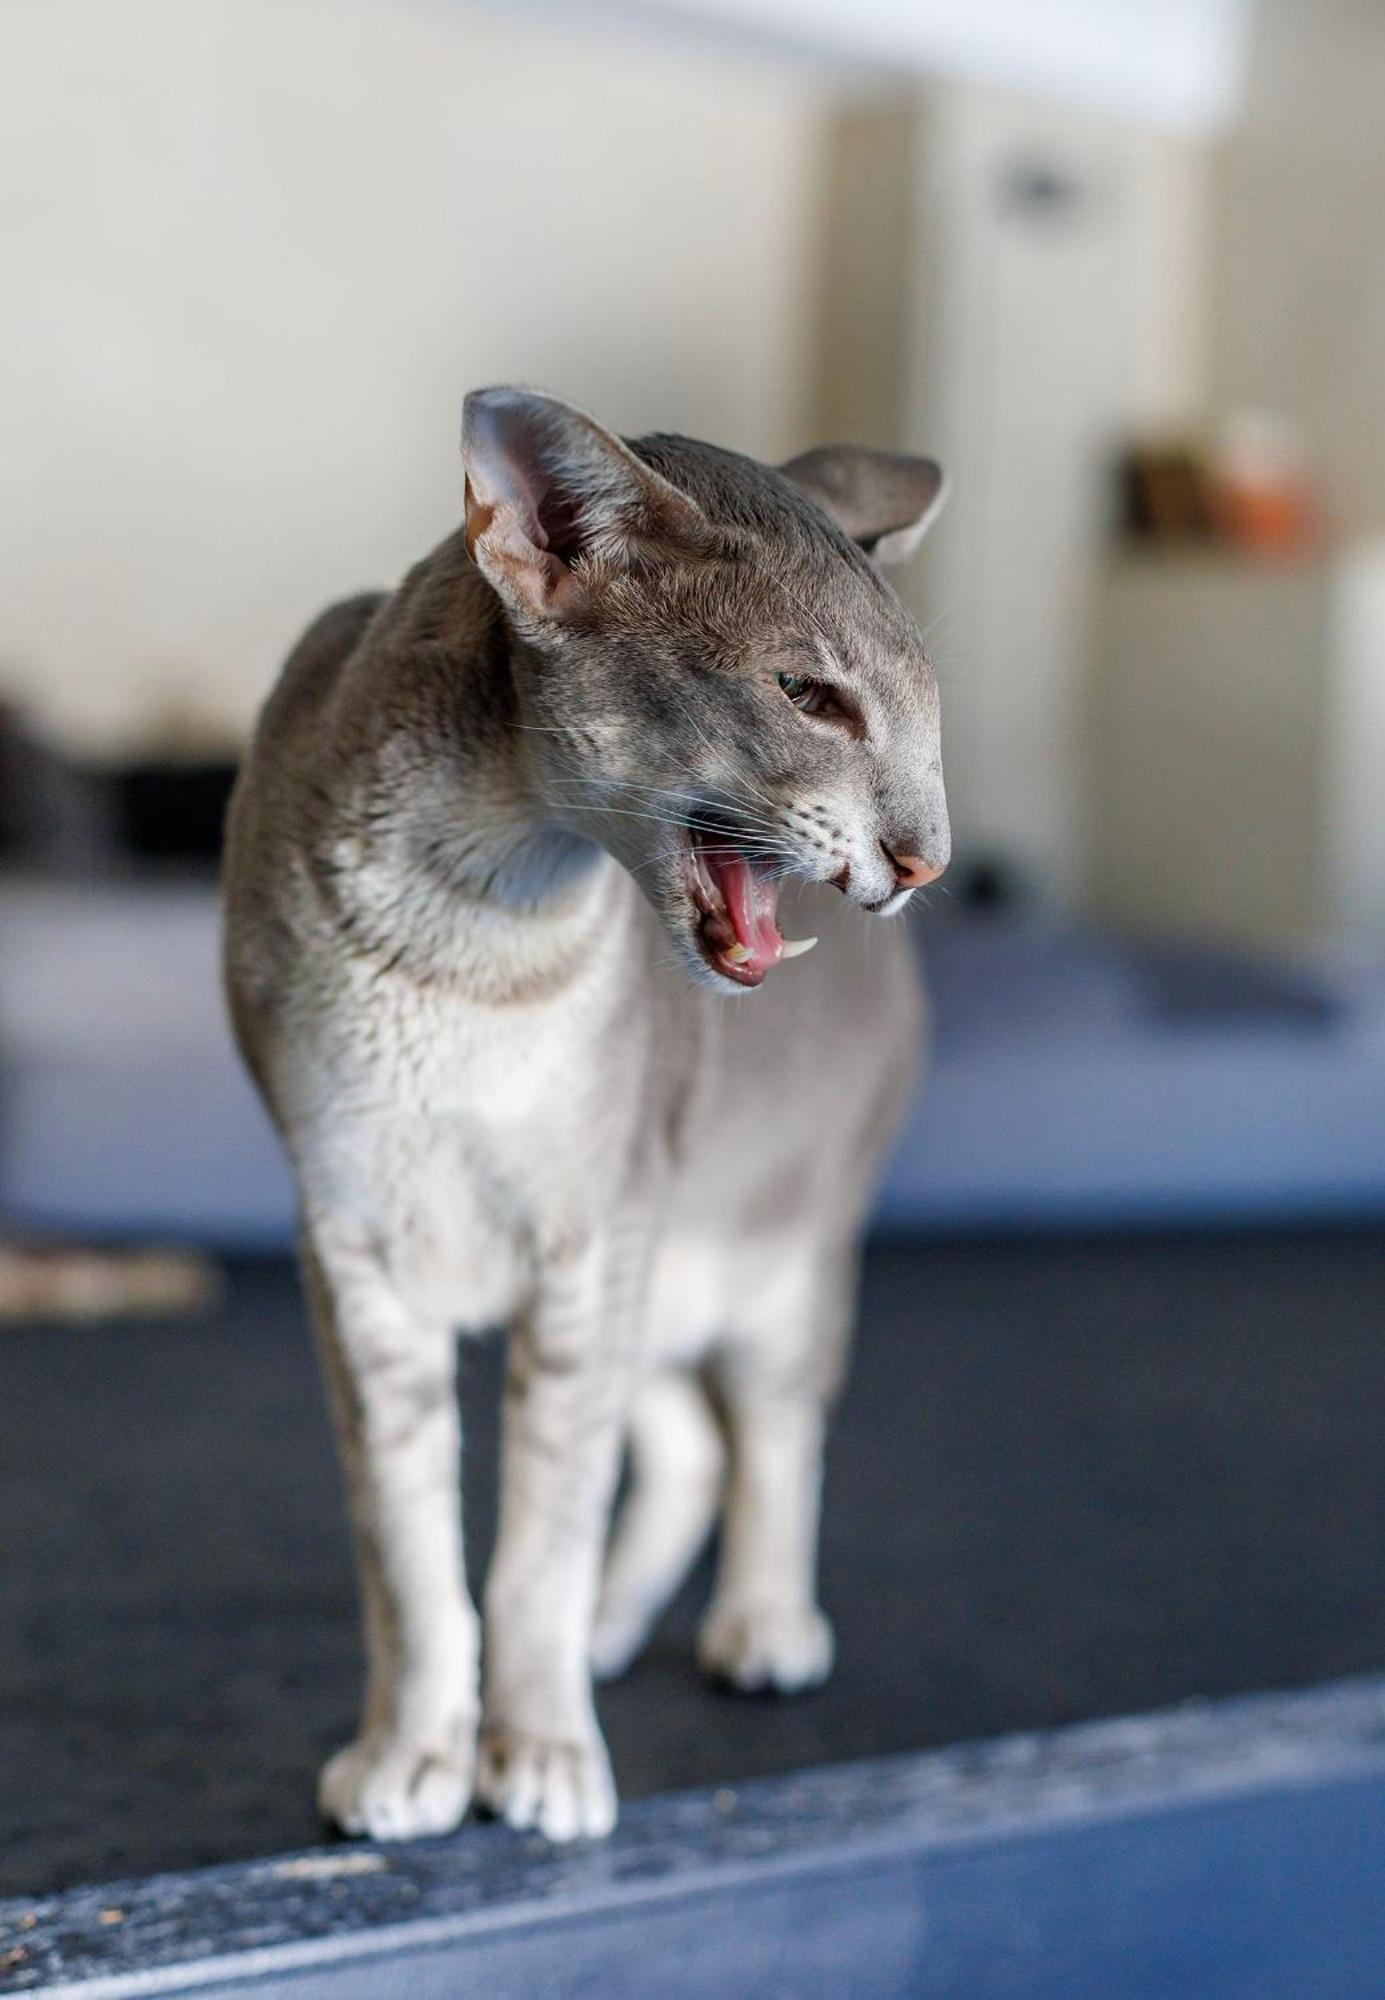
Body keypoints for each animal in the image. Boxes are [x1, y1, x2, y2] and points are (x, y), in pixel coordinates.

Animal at [222, 390, 952, 1840]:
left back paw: (761, 1626)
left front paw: (539, 1751)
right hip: (657, 1281)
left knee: (774, 1432)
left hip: (765, 1259)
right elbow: (412, 1554)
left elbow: (536, 1546)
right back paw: (617, 1628)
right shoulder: (351, 1242)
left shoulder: (588, 1238)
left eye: (926, 715)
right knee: (684, 1450)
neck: (467, 944)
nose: (925, 856)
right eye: (811, 697)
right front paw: (417, 1751)